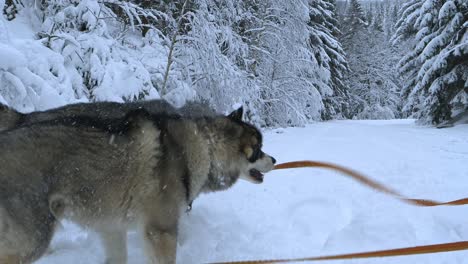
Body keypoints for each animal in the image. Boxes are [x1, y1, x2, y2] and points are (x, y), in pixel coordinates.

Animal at [0, 100, 276, 262]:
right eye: (258, 149)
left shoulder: (112, 227)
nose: (274, 159)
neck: (203, 148)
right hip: (32, 240)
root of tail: (20, 118)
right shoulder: (160, 231)